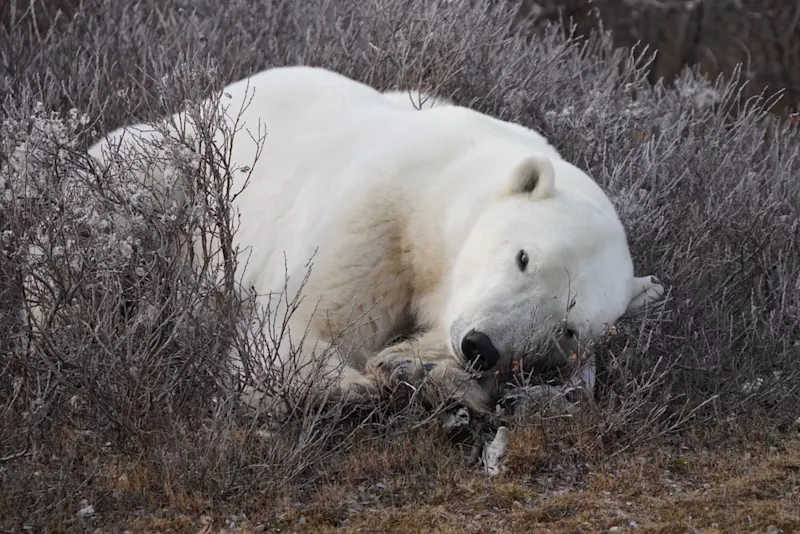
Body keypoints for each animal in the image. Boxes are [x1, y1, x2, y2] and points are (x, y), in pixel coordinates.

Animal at [83, 65, 665, 419]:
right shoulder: (380, 214)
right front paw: (355, 384)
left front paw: (412, 366)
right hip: (166, 165)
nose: (481, 345)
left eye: (566, 329)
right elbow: (297, 327)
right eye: (524, 257)